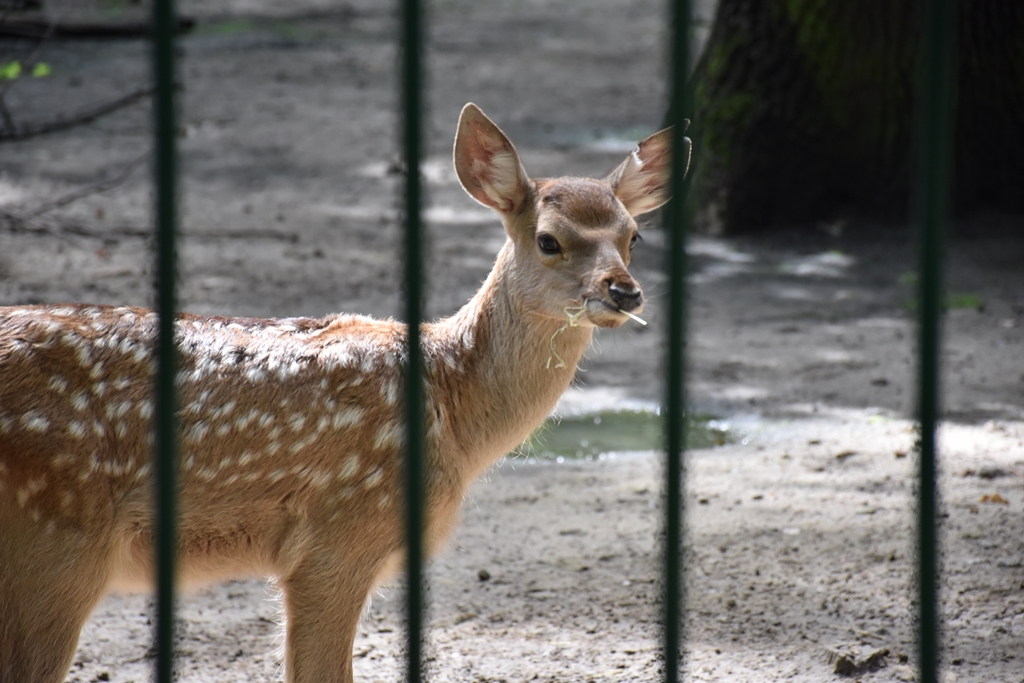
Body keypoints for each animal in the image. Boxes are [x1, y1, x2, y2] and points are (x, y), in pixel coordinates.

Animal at [0, 103, 687, 683]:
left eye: (634, 236)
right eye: (548, 239)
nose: (624, 292)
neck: (453, 411)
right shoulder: (337, 538)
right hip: (58, 535)